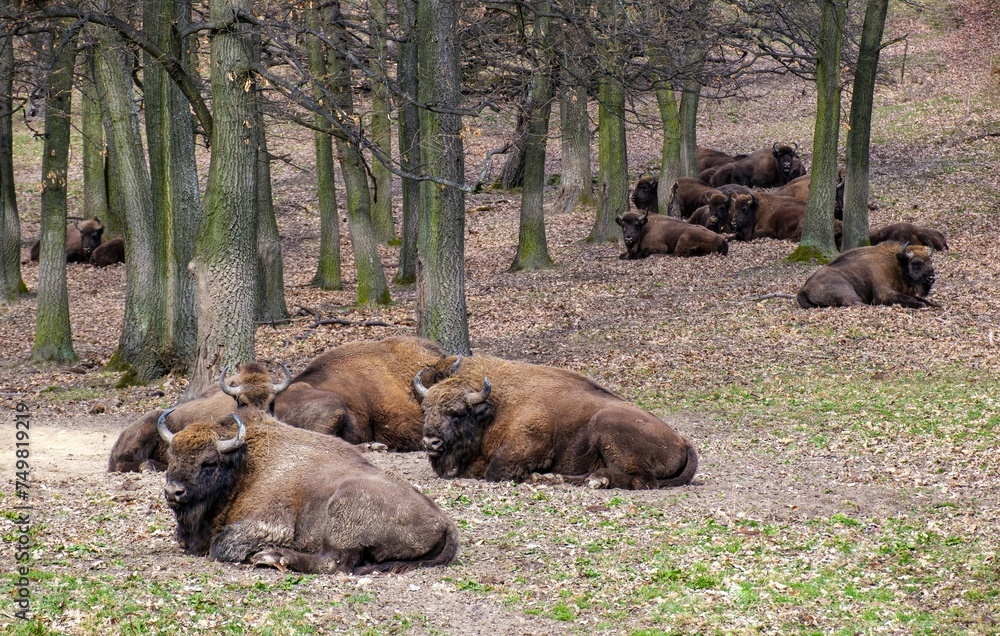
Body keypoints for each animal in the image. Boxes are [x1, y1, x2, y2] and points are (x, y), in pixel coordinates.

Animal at [159, 410, 459, 574]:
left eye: (209, 462)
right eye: (171, 456)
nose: (174, 492)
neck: (245, 468)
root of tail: (446, 523)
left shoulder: (269, 525)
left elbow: (221, 546)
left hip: (342, 508)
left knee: (334, 563)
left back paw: (272, 557)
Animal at [413, 355, 698, 489]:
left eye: (458, 413)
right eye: (425, 410)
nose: (430, 442)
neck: (496, 407)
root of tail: (682, 441)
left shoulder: (530, 445)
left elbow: (495, 471)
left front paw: (532, 477)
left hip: (605, 424)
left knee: (642, 480)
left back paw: (596, 480)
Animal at [797, 241, 938, 309]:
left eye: (930, 261)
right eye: (915, 263)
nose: (931, 278)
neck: (894, 264)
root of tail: (804, 288)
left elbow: (920, 298)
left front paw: (935, 304)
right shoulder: (884, 294)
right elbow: (908, 299)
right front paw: (921, 305)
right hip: (846, 288)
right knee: (853, 302)